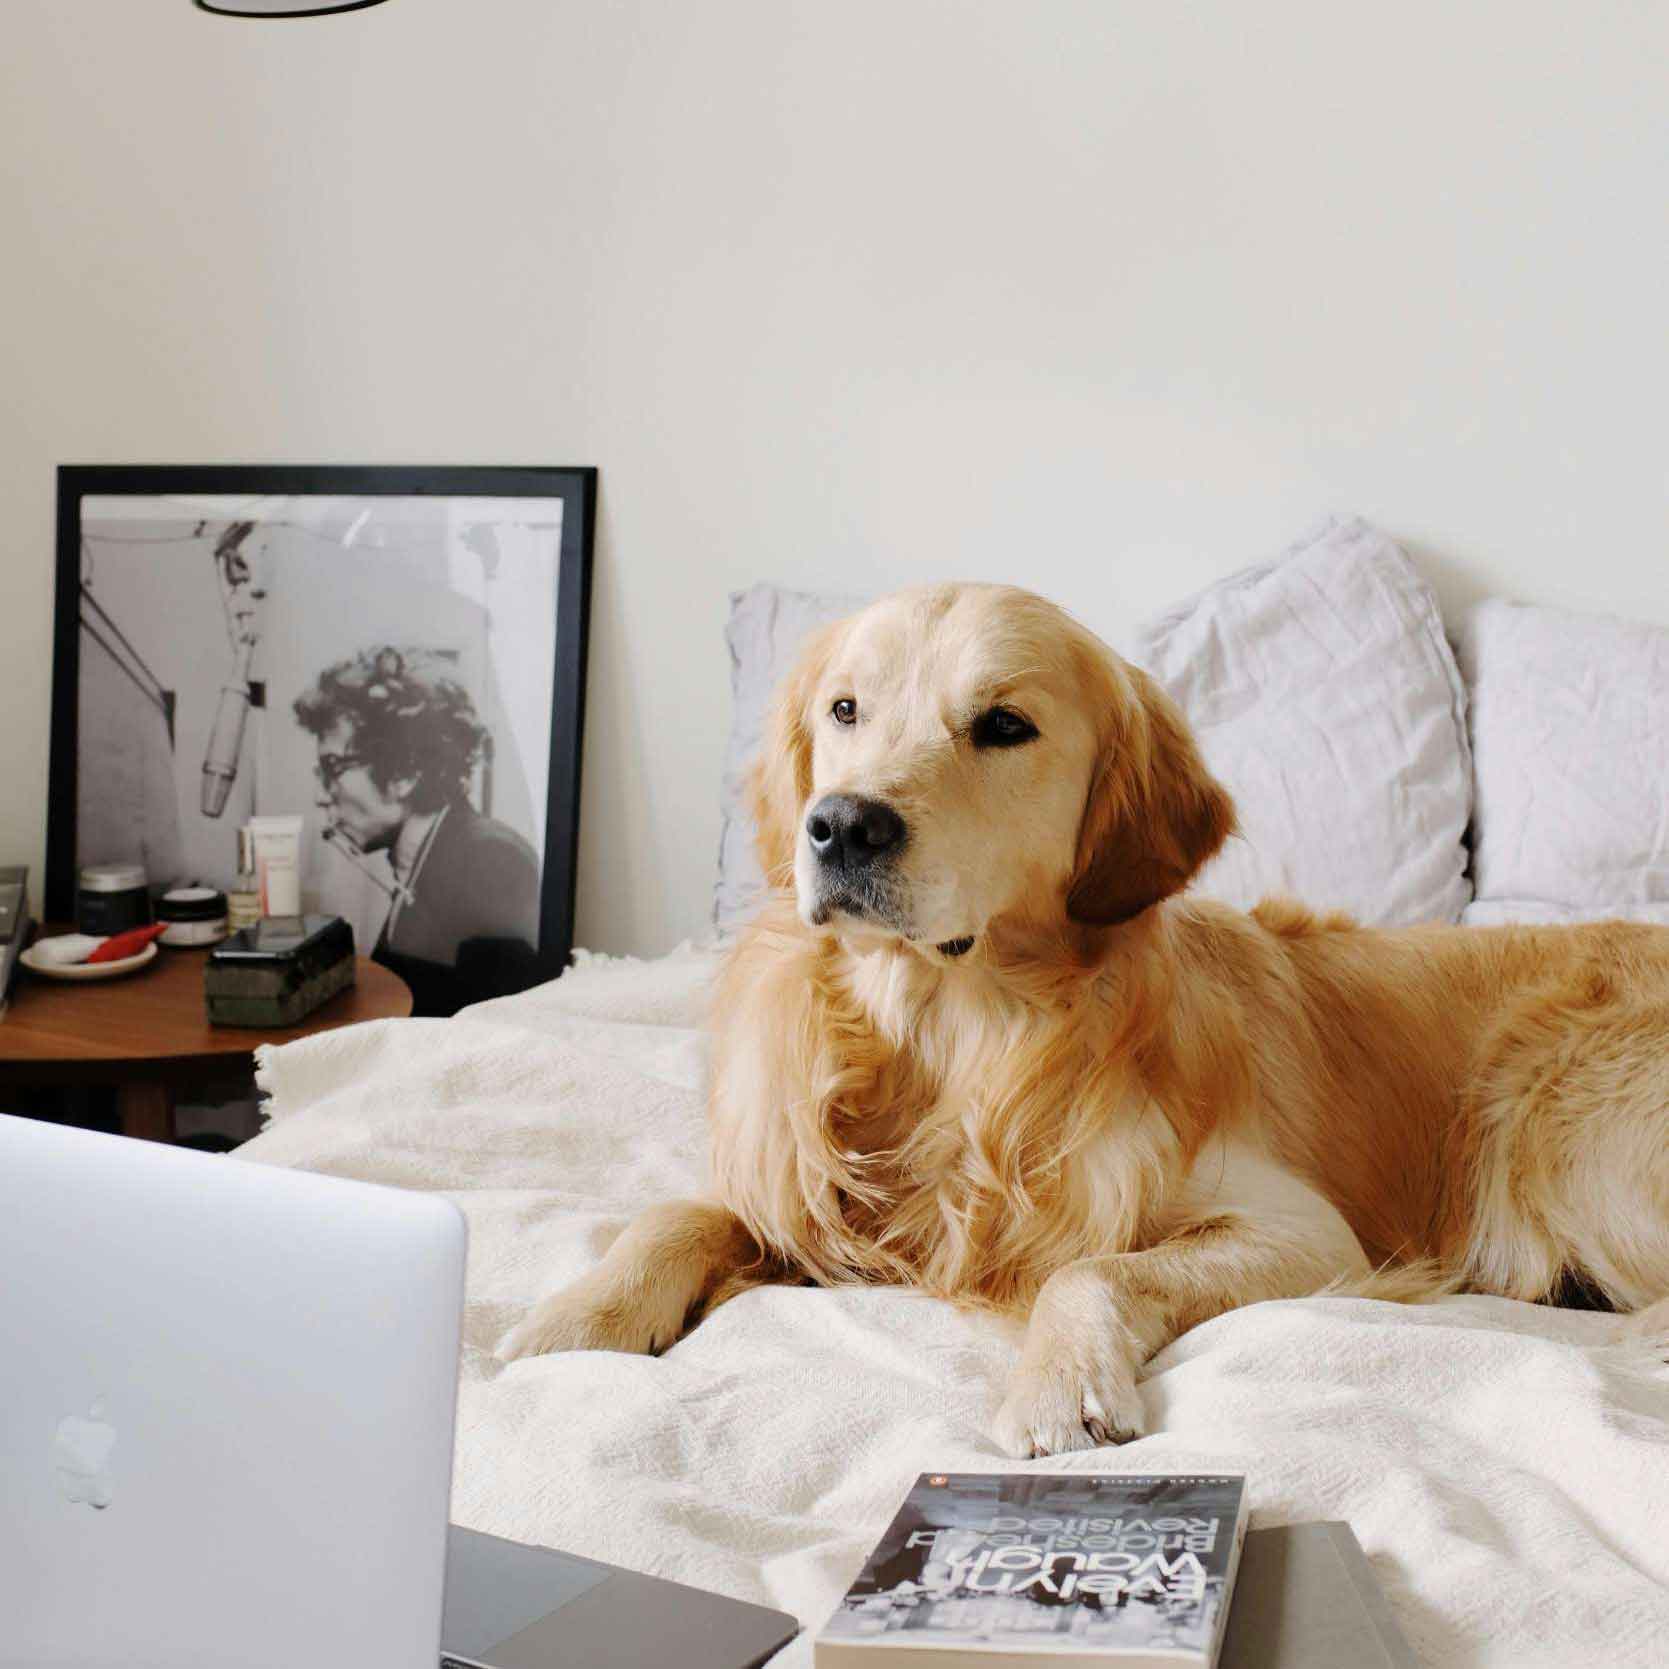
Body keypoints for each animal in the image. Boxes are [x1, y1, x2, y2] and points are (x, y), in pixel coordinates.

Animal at [500, 580, 1669, 1455]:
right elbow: (677, 1212)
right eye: (843, 711)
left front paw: (1058, 1386)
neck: (952, 1041)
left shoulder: (1304, 1232)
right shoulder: (807, 1201)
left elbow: (1089, 1263)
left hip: (1558, 1115)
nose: (838, 825)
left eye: (1003, 726)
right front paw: (578, 1314)